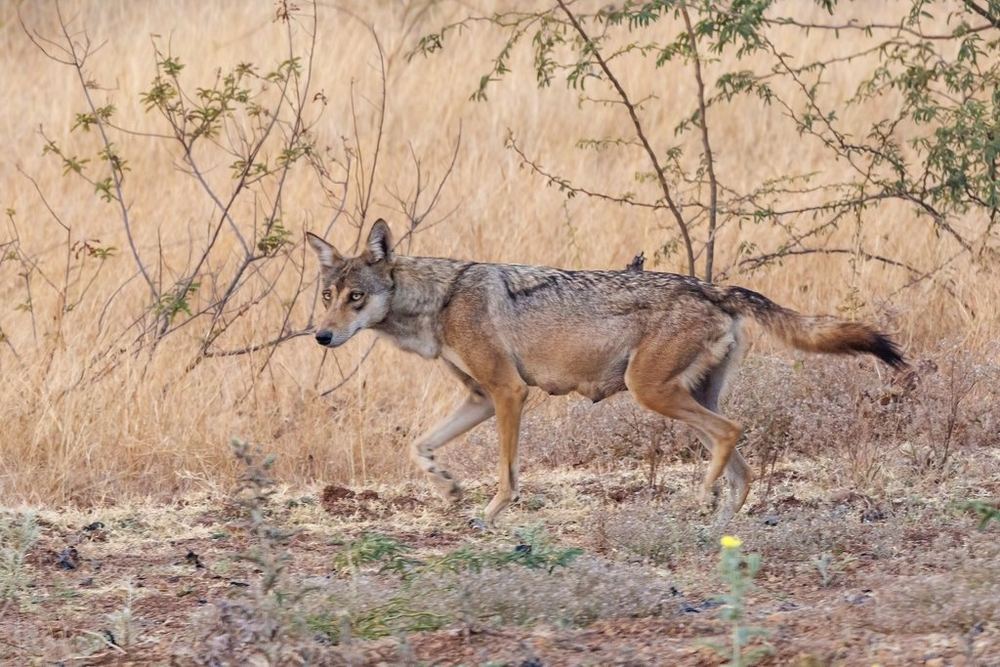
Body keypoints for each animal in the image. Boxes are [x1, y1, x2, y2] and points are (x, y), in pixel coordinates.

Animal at [307, 220, 904, 527]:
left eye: (356, 298)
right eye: (328, 296)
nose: (321, 337)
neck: (440, 301)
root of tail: (712, 287)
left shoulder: (508, 392)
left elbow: (506, 473)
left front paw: (490, 514)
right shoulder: (478, 397)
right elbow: (419, 445)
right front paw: (449, 487)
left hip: (652, 393)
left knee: (731, 434)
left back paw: (702, 497)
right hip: (686, 397)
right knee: (743, 465)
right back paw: (723, 521)